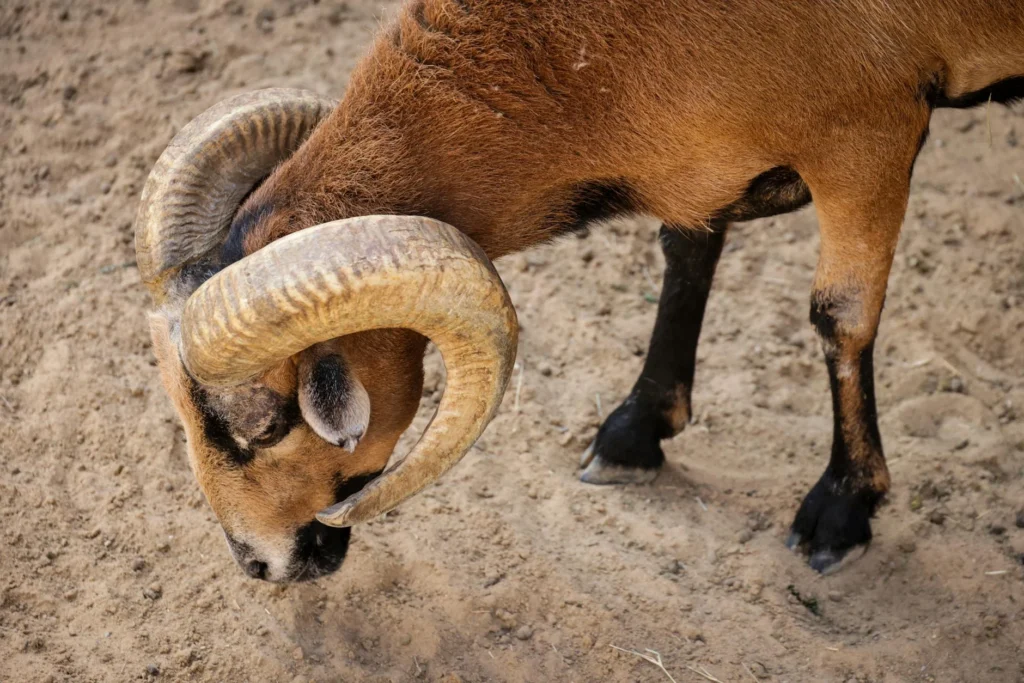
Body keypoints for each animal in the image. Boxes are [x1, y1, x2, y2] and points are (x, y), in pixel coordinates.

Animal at [136, 0, 1024, 581]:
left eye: (266, 423)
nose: (258, 563)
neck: (582, 48)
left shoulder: (867, 132)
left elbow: (839, 317)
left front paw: (841, 510)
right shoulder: (703, 156)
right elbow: (686, 250)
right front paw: (635, 434)